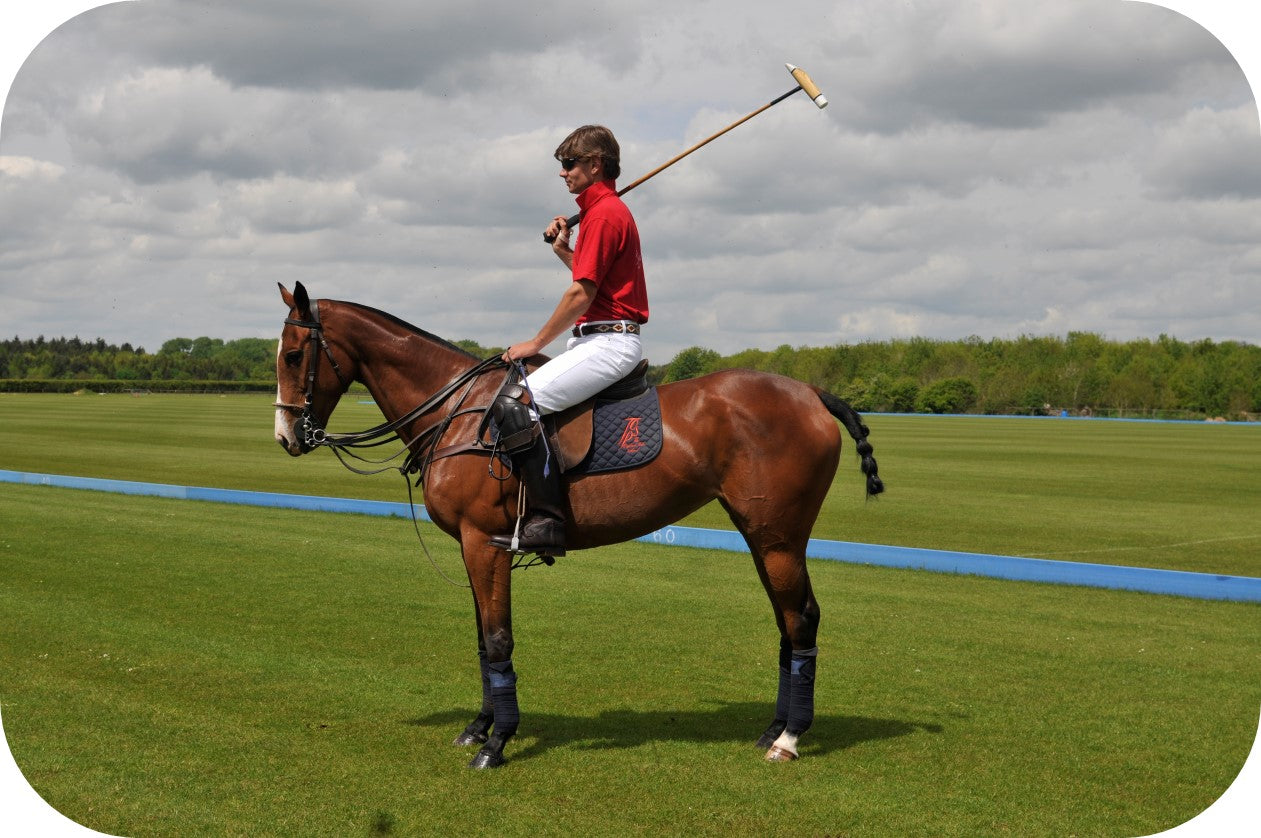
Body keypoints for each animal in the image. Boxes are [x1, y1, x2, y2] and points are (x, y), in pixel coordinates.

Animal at [273, 281, 883, 768]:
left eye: (295, 353)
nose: (287, 437)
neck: (454, 412)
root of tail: (812, 394)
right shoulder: (474, 545)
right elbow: (481, 638)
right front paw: (478, 728)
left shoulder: (484, 541)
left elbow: (497, 638)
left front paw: (497, 743)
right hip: (761, 532)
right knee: (786, 621)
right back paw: (772, 729)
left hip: (779, 534)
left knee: (802, 618)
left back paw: (791, 739)